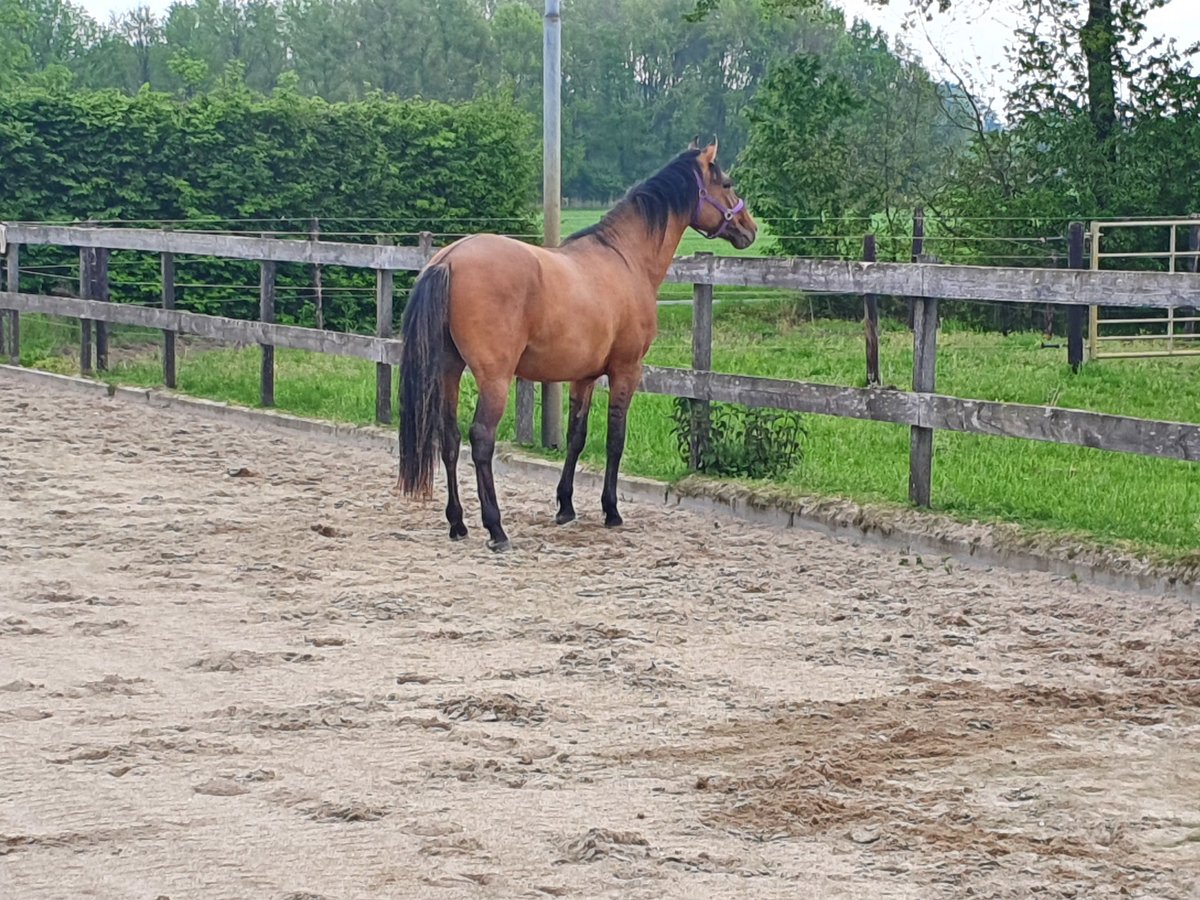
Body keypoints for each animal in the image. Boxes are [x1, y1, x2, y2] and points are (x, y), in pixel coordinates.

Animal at [398, 140, 753, 549]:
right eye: (726, 183)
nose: (750, 228)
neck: (625, 258)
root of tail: (448, 259)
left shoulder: (583, 376)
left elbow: (575, 437)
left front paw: (565, 506)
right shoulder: (626, 370)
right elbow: (615, 438)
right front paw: (611, 511)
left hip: (448, 370)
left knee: (450, 439)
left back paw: (457, 523)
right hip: (494, 377)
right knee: (481, 440)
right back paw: (496, 529)